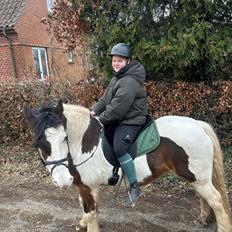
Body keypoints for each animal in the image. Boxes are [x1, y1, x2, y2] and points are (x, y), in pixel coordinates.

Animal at [24, 99, 231, 232]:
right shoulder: (85, 186)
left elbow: (91, 211)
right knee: (203, 197)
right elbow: (85, 206)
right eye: (38, 143)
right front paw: (82, 223)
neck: (84, 142)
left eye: (65, 138)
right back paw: (204, 219)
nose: (63, 180)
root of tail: (198, 125)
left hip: (199, 179)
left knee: (216, 200)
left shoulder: (88, 186)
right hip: (196, 178)